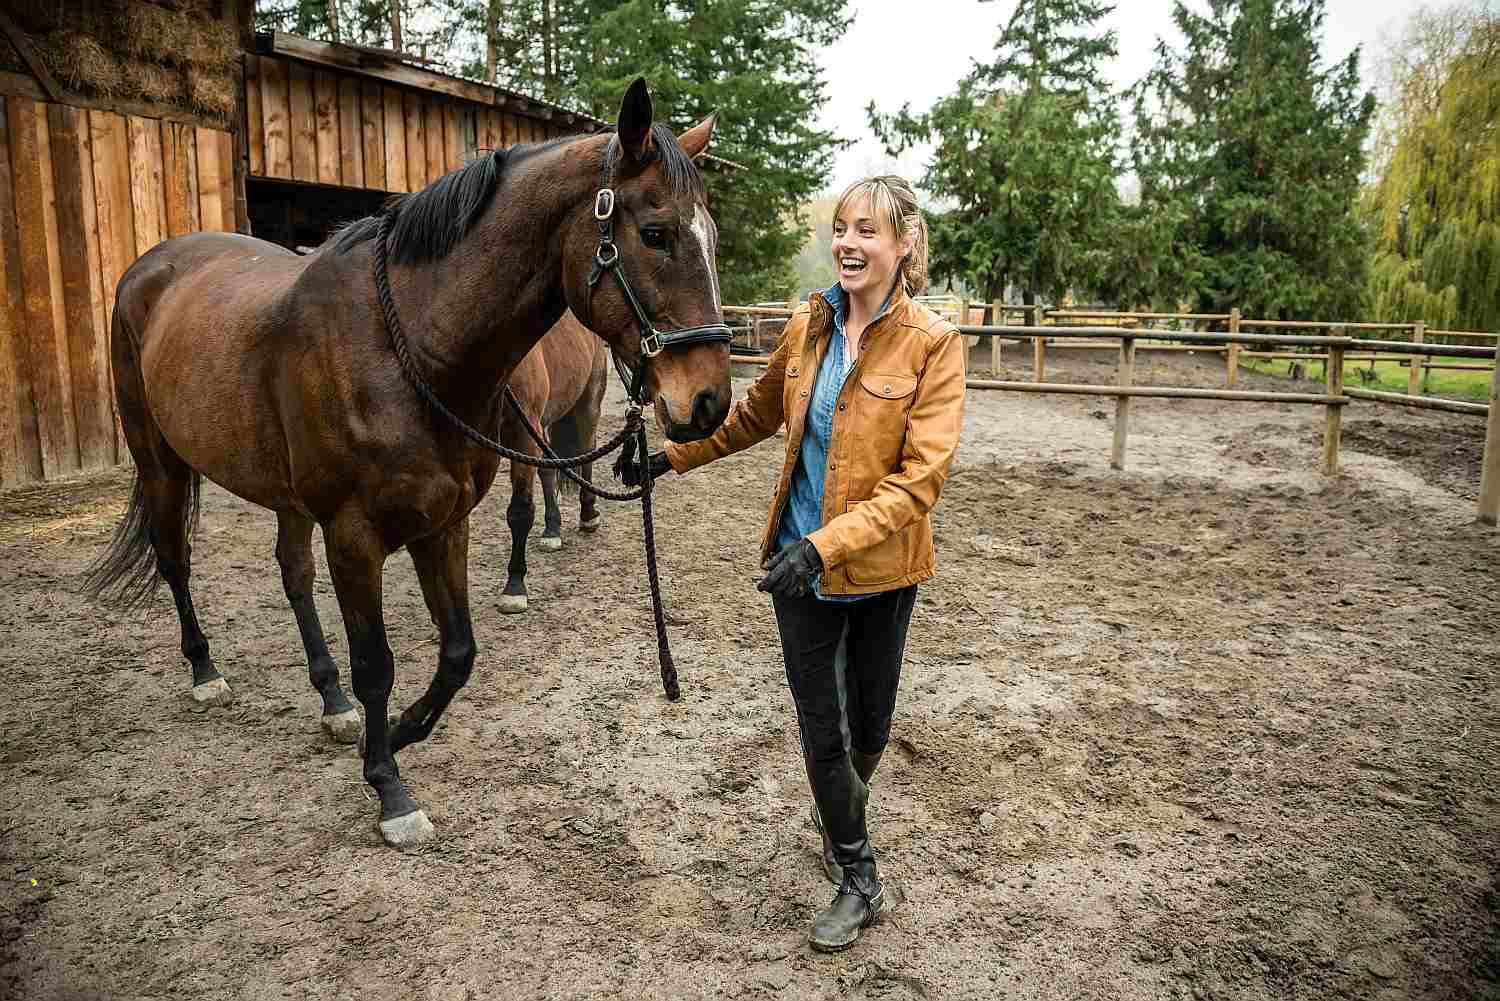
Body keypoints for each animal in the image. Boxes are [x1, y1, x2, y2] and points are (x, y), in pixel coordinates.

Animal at [495, 309, 606, 615]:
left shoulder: (522, 434)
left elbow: (520, 511)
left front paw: (514, 587)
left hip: (587, 405)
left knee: (587, 453)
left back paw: (588, 515)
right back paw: (552, 528)